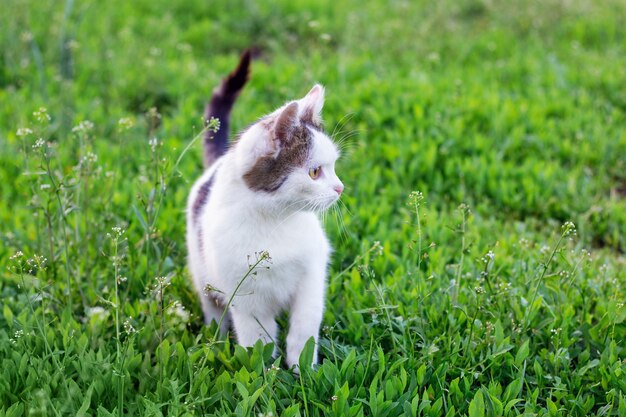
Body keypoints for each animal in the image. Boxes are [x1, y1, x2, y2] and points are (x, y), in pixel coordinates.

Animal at [185, 50, 342, 368]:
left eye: (333, 167)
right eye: (315, 172)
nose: (340, 188)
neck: (276, 221)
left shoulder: (311, 276)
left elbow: (304, 326)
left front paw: (302, 369)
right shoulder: (246, 298)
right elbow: (259, 341)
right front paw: (267, 375)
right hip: (202, 272)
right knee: (213, 308)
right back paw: (217, 339)